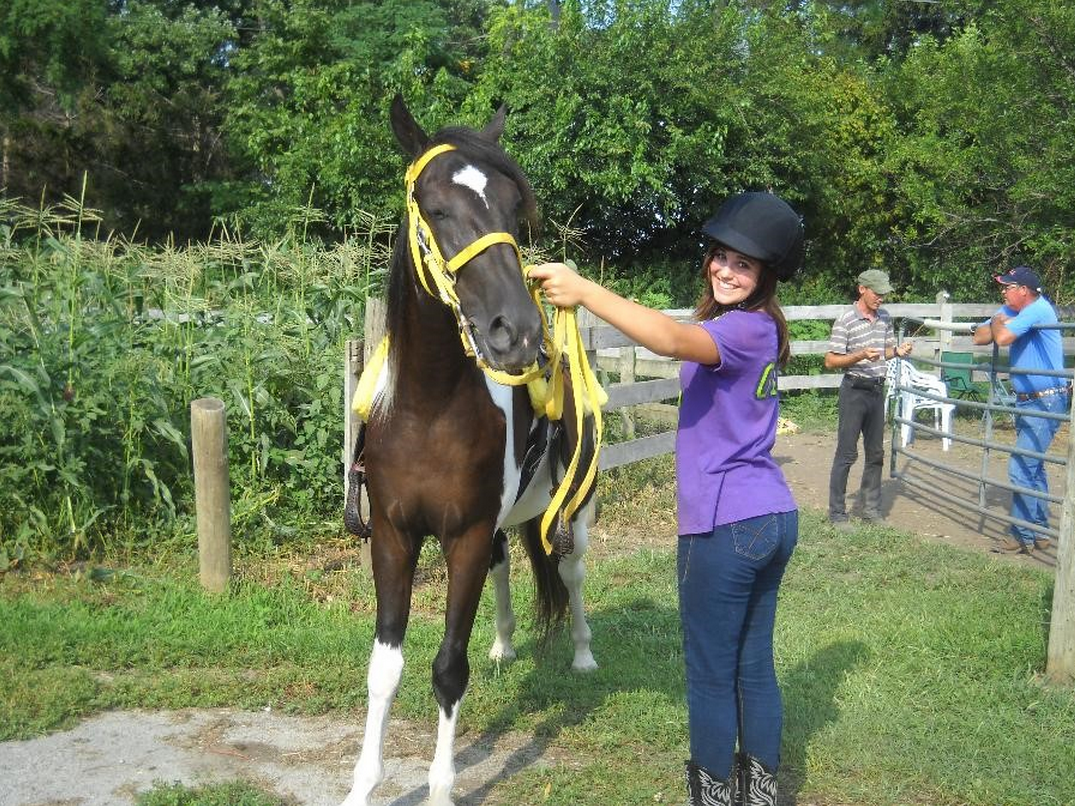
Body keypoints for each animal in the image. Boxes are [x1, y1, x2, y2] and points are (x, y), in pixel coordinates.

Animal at [339, 96, 597, 806]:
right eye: (436, 207)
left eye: (513, 206)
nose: (519, 333)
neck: (428, 410)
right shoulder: (395, 536)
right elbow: (385, 668)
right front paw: (363, 784)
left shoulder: (465, 535)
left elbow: (447, 668)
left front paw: (442, 787)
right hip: (501, 526)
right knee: (509, 564)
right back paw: (505, 646)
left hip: (576, 508)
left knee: (572, 572)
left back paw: (583, 652)